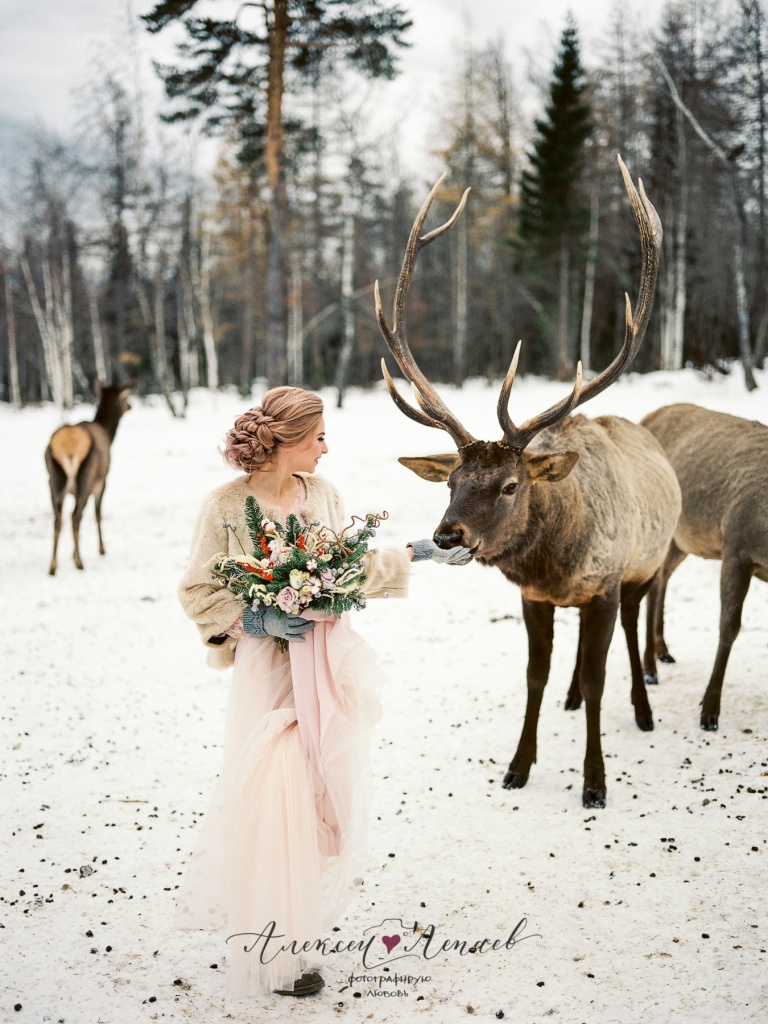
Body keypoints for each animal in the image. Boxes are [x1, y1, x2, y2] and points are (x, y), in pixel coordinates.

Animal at [46, 380, 134, 576]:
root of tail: (68, 445)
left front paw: (71, 554)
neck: (108, 434)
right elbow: (98, 513)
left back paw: (53, 566)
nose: (130, 406)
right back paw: (79, 562)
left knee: (58, 518)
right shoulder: (102, 481)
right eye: (124, 398)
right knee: (75, 515)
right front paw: (101, 549)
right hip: (87, 478)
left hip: (53, 479)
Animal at [374, 157, 681, 808]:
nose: (447, 535)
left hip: (648, 562)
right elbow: (535, 677)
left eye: (511, 485)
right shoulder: (534, 598)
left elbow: (599, 676)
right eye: (451, 481)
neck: (555, 562)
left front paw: (595, 782)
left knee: (632, 629)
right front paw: (518, 766)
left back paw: (643, 709)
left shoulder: (606, 582)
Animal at [640, 403, 768, 731]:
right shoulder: (736, 546)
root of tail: (647, 417)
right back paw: (649, 669)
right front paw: (709, 711)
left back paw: (663, 651)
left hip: (682, 541)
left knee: (662, 579)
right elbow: (729, 627)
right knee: (651, 583)